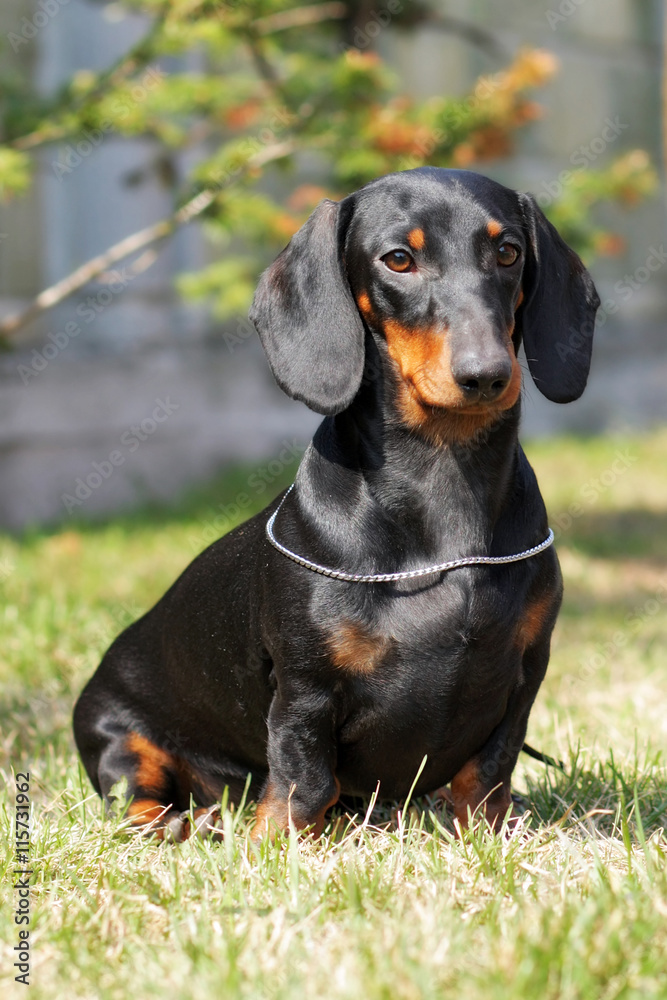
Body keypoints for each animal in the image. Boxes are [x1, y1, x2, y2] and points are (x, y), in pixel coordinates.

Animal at [73, 168, 600, 840]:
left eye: (508, 251)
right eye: (398, 259)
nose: (486, 375)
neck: (443, 485)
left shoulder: (525, 673)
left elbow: (487, 774)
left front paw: (486, 834)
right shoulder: (306, 689)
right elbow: (303, 781)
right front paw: (273, 845)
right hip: (113, 731)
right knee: (136, 795)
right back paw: (183, 824)